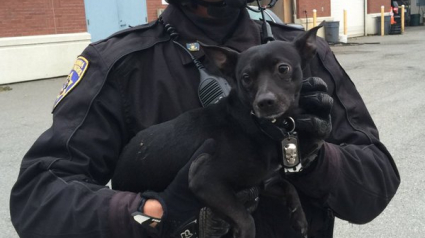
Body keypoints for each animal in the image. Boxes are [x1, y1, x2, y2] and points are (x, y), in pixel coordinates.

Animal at [111, 25, 320, 237]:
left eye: (283, 69)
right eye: (246, 78)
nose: (264, 102)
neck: (256, 123)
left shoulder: (260, 182)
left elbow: (289, 186)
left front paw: (298, 216)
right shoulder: (205, 180)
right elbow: (246, 219)